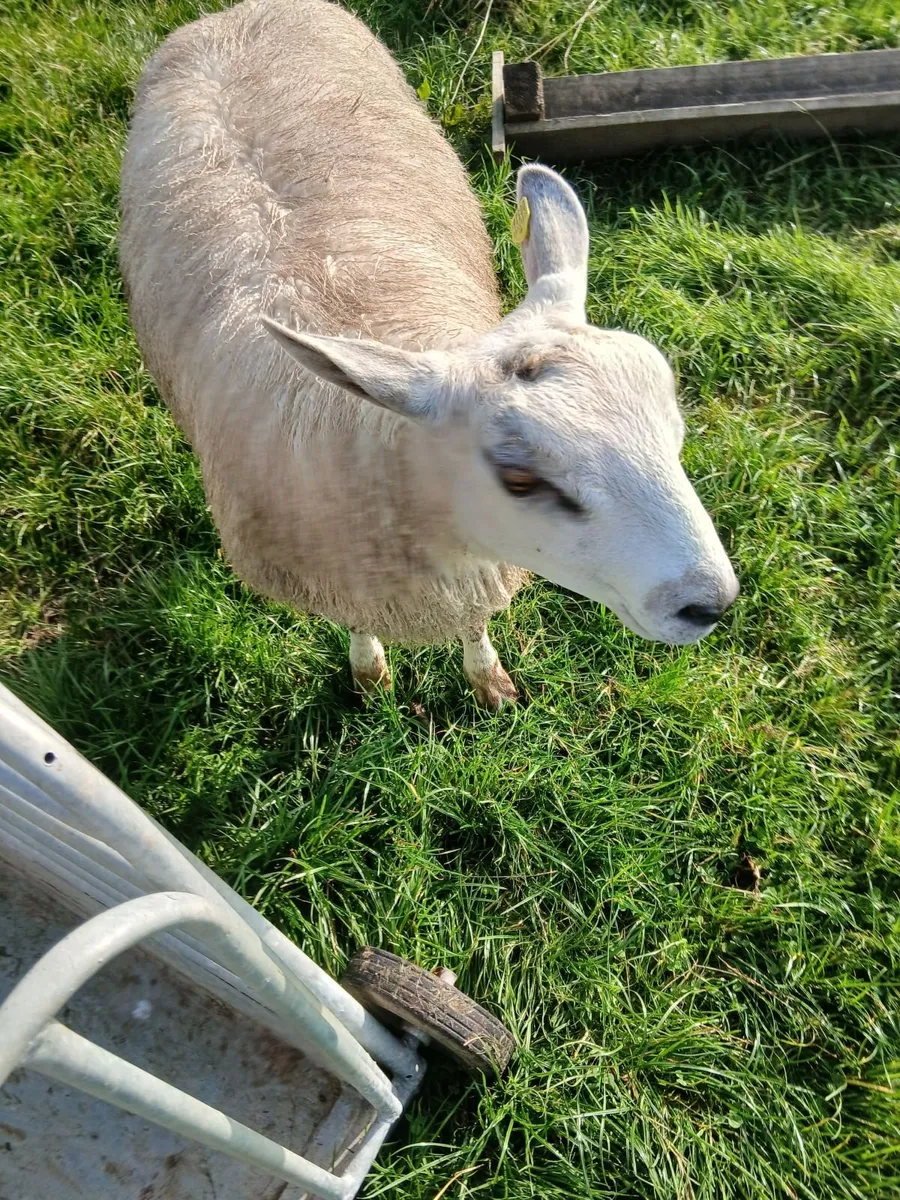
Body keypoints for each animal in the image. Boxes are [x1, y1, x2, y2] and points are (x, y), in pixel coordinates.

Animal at [119, 0, 739, 710]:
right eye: (520, 480)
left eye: (676, 433)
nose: (710, 604)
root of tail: (232, 13)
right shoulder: (342, 570)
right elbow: (359, 623)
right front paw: (370, 676)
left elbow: (474, 621)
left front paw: (489, 683)